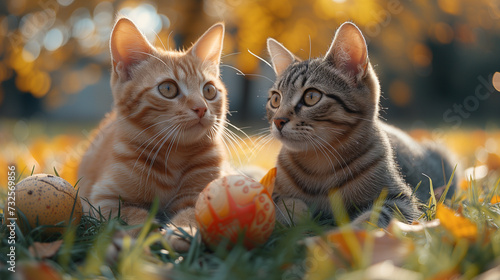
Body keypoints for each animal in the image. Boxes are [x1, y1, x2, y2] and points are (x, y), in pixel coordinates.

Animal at [79, 18, 228, 249]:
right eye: (168, 89)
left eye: (209, 91)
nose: (201, 108)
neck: (174, 157)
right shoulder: (102, 199)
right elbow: (131, 215)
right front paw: (145, 235)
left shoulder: (202, 196)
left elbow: (192, 213)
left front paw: (184, 231)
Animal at [266, 21, 458, 228]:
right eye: (275, 100)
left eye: (311, 97)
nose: (278, 120)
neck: (318, 165)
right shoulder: (270, 188)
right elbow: (278, 202)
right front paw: (296, 213)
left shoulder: (403, 201)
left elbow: (374, 217)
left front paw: (345, 232)